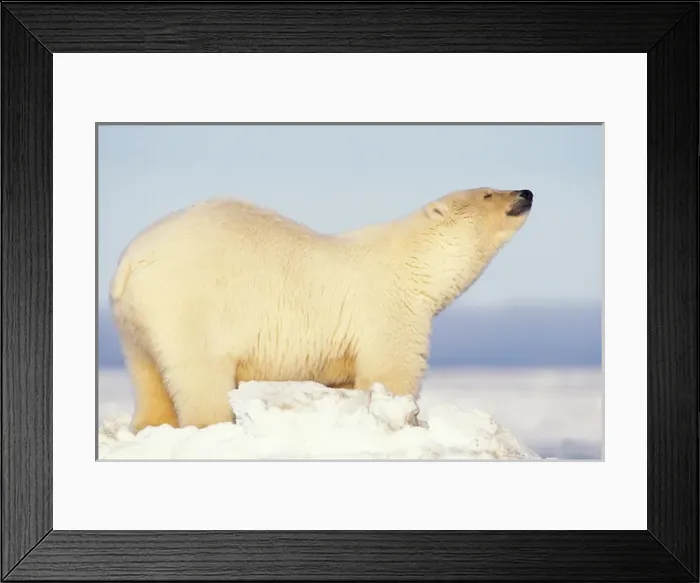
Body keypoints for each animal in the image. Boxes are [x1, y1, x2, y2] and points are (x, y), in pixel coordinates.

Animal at [109, 187, 534, 431]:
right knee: (201, 380)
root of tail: (132, 260)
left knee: (150, 379)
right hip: (190, 309)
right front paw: (402, 420)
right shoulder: (389, 310)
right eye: (488, 194)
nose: (526, 192)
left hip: (135, 325)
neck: (416, 263)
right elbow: (393, 372)